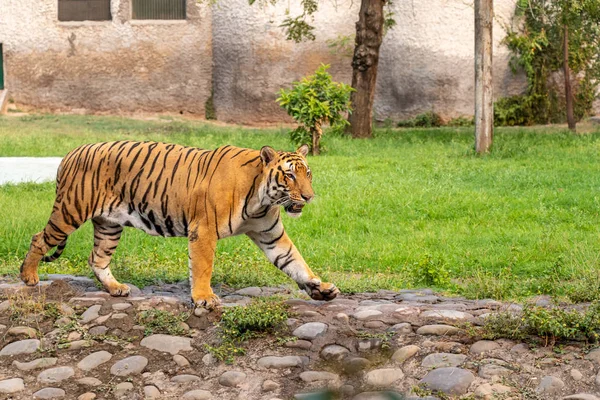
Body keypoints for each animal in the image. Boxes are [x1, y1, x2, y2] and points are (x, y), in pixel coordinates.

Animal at [19, 142, 338, 308]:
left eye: (308, 174)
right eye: (290, 176)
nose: (308, 197)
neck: (262, 199)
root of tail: (70, 153)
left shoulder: (270, 235)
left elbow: (295, 262)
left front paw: (320, 288)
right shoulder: (204, 230)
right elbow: (203, 266)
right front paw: (204, 298)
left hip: (109, 224)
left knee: (97, 258)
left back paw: (116, 289)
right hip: (70, 212)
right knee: (39, 238)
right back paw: (29, 277)